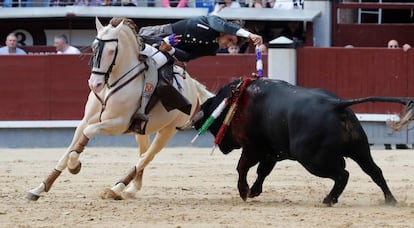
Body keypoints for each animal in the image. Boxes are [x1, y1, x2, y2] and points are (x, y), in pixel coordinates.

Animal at [26, 16, 213, 200]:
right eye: (94, 47)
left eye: (111, 51)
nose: (95, 84)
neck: (110, 84)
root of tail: (191, 83)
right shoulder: (85, 120)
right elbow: (68, 151)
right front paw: (39, 188)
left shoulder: (118, 124)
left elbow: (86, 136)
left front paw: (74, 166)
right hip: (142, 131)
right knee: (143, 153)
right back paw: (131, 189)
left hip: (168, 130)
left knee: (147, 157)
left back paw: (116, 188)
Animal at [193, 77, 414, 206]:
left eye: (212, 127)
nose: (222, 148)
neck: (236, 101)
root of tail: (336, 104)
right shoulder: (272, 152)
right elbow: (263, 171)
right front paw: (254, 191)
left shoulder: (253, 148)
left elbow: (242, 168)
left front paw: (244, 192)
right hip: (360, 150)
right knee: (375, 171)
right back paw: (390, 200)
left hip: (311, 160)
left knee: (342, 174)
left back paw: (329, 199)